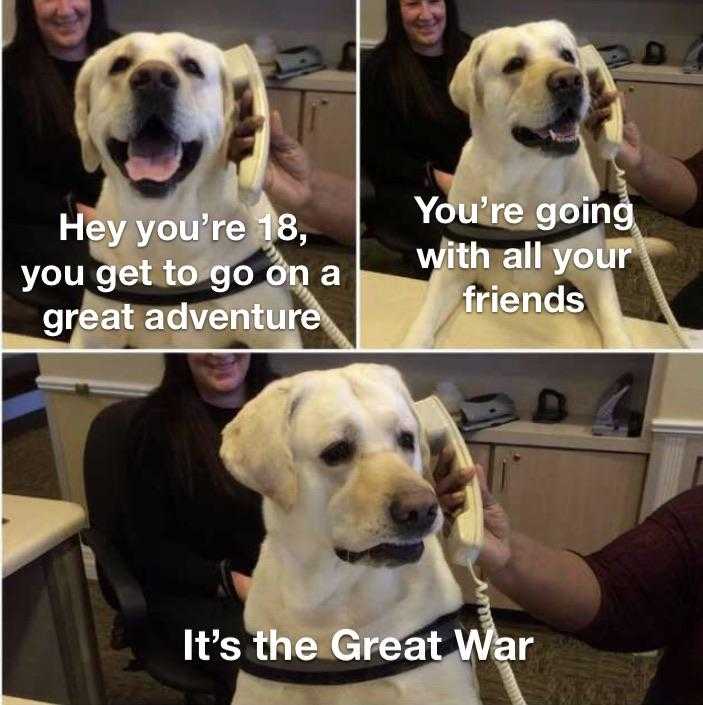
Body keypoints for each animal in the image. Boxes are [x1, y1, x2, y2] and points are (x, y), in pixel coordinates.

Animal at [73, 33, 302, 346]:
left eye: (192, 66)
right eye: (120, 64)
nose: (153, 78)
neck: (162, 220)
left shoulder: (277, 334)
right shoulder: (92, 334)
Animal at [402, 20, 640, 350]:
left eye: (567, 55)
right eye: (514, 64)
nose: (571, 80)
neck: (525, 177)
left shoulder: (593, 273)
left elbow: (613, 319)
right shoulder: (452, 270)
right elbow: (425, 317)